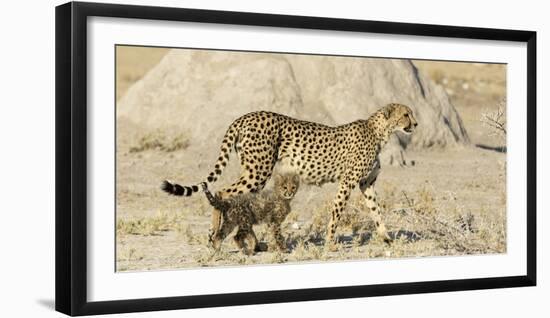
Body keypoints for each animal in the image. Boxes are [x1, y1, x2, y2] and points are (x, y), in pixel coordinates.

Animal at [162, 103, 420, 247]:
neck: (379, 132)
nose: (416, 124)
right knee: (223, 192)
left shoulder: (367, 184)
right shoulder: (347, 183)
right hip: (258, 170)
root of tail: (244, 116)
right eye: (406, 114)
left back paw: (250, 243)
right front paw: (330, 245)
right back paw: (215, 237)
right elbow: (336, 214)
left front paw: (386, 238)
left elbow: (377, 212)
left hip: (254, 170)